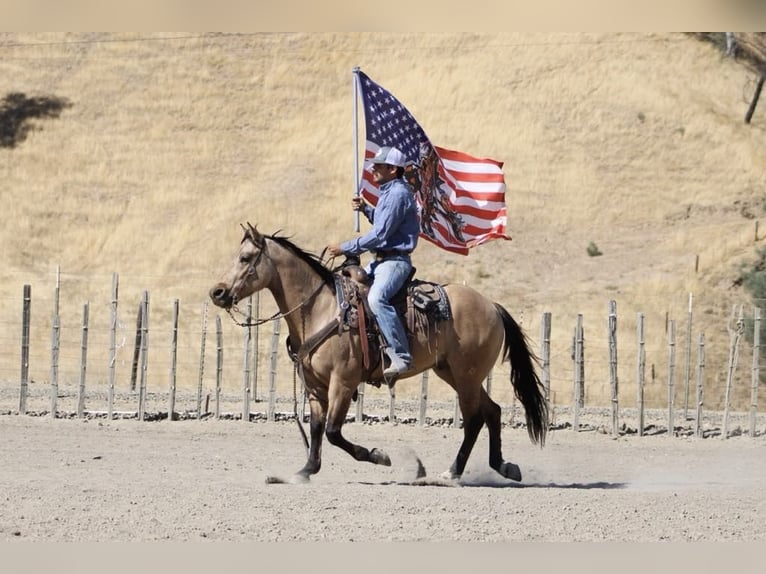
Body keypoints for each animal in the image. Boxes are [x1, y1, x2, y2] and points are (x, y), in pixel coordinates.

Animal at [207, 225, 548, 486]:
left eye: (245, 258)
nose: (217, 292)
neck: (319, 309)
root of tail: (492, 306)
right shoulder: (315, 386)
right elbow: (317, 429)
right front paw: (304, 471)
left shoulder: (343, 382)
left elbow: (333, 432)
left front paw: (378, 456)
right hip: (454, 372)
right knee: (493, 411)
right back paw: (503, 466)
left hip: (466, 375)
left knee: (475, 419)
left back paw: (451, 473)